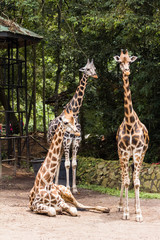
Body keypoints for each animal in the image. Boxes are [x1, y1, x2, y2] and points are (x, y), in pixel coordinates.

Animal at [47, 59, 98, 194]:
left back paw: (56, 183)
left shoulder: (76, 141)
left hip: (60, 146)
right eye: (87, 69)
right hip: (52, 143)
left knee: (58, 161)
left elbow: (74, 164)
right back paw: (51, 184)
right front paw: (68, 187)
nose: (95, 75)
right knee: (54, 161)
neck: (74, 112)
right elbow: (67, 164)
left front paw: (74, 188)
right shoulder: (67, 141)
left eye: (94, 68)